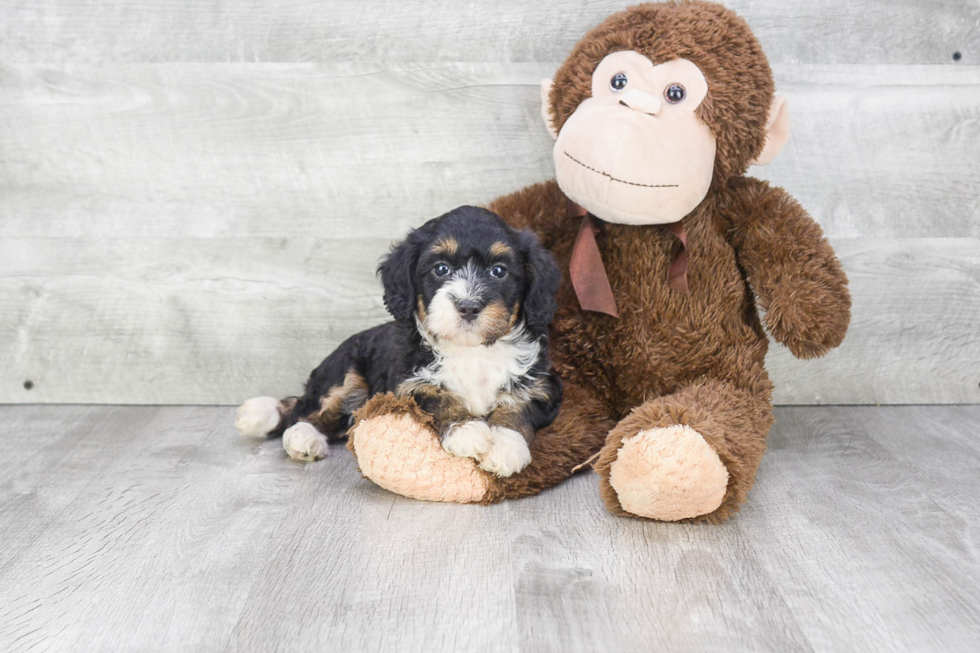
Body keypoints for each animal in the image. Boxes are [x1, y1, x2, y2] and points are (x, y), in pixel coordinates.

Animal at [233, 206, 564, 476]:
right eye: (441, 269)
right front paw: (467, 430)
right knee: (304, 411)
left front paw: (505, 447)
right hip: (345, 370)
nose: (468, 306)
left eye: (499, 271)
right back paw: (303, 437)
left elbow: (516, 407)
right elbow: (438, 397)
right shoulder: (406, 385)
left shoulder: (542, 387)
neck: (470, 350)